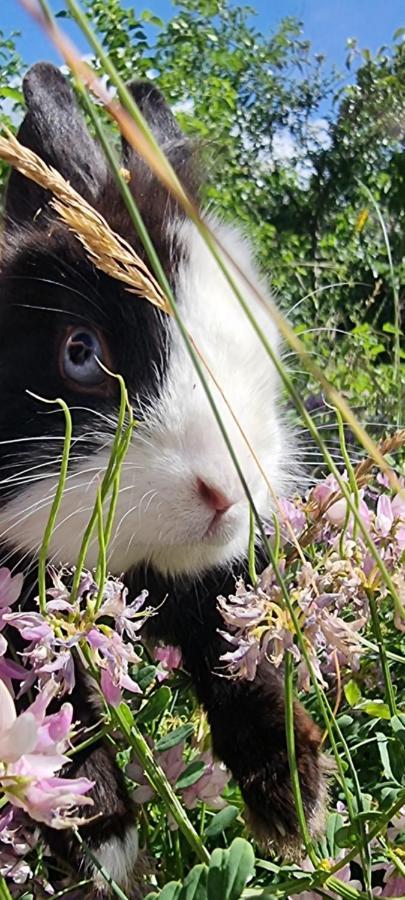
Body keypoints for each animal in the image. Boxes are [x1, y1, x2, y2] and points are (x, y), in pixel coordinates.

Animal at [0, 61, 326, 892]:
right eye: (80, 353)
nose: (225, 487)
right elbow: (41, 696)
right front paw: (100, 839)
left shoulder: (212, 578)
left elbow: (234, 641)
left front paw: (294, 804)